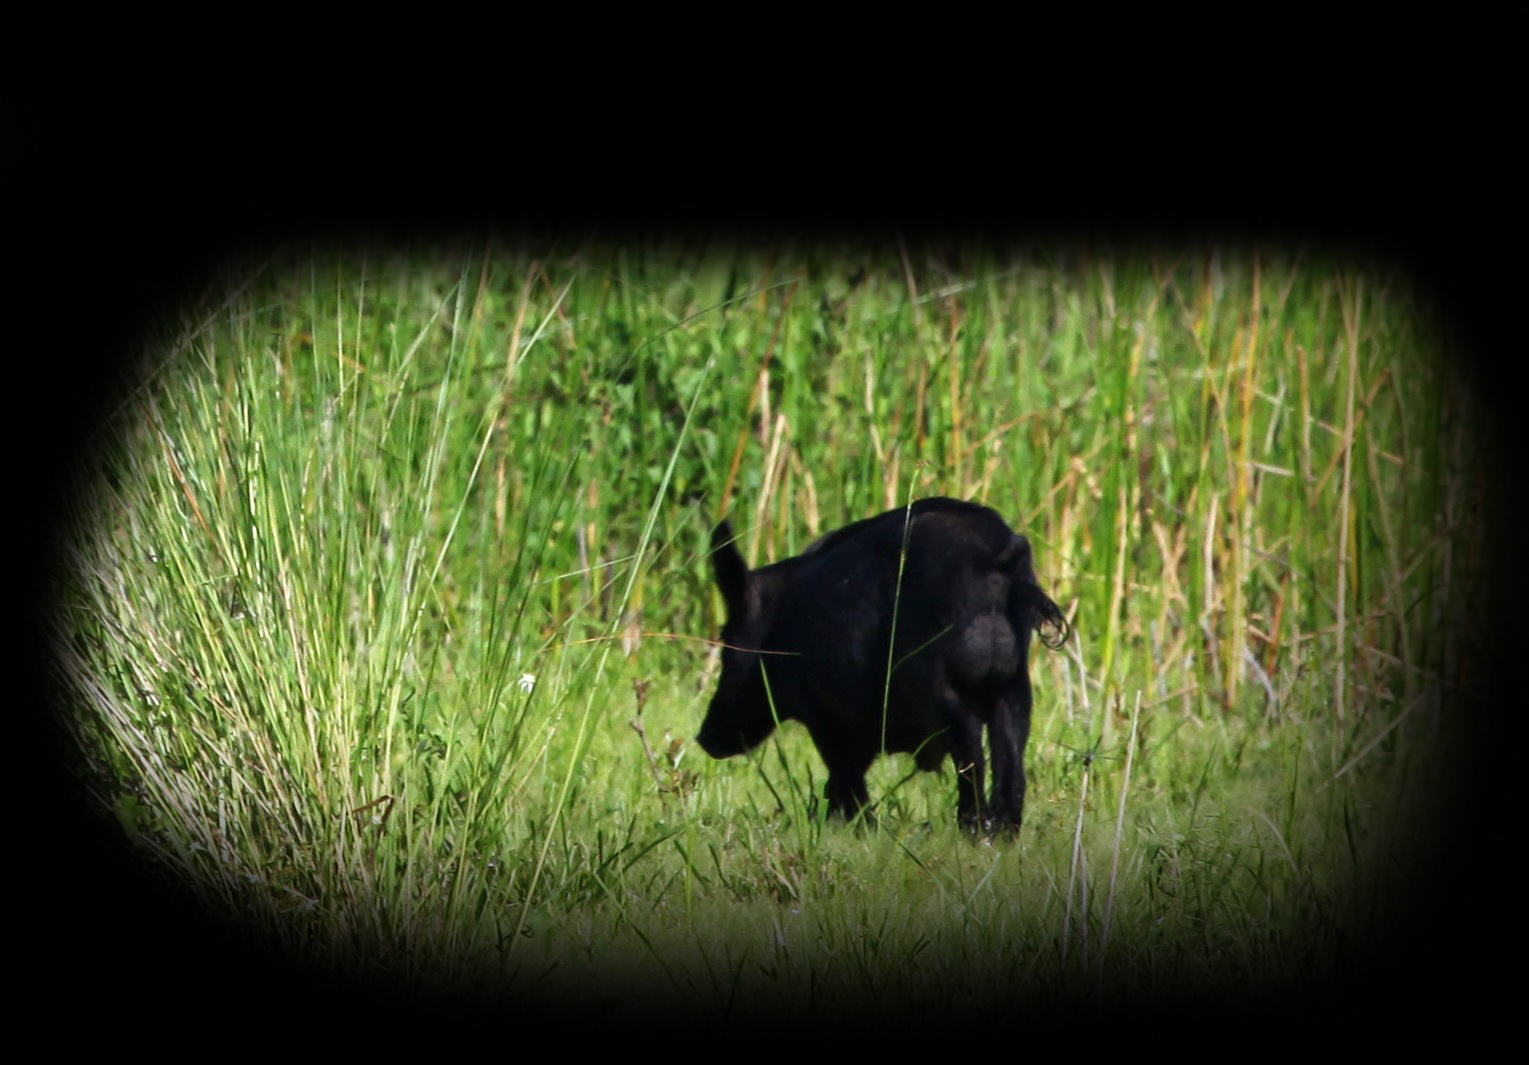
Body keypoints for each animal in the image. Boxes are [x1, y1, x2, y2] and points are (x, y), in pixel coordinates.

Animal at [698, 497, 1068, 833]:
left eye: (727, 647)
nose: (704, 738)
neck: (780, 626)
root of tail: (996, 558)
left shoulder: (827, 715)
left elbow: (843, 771)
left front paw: (857, 827)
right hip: (1015, 684)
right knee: (1011, 758)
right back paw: (1003, 832)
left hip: (936, 682)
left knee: (970, 749)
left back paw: (974, 829)